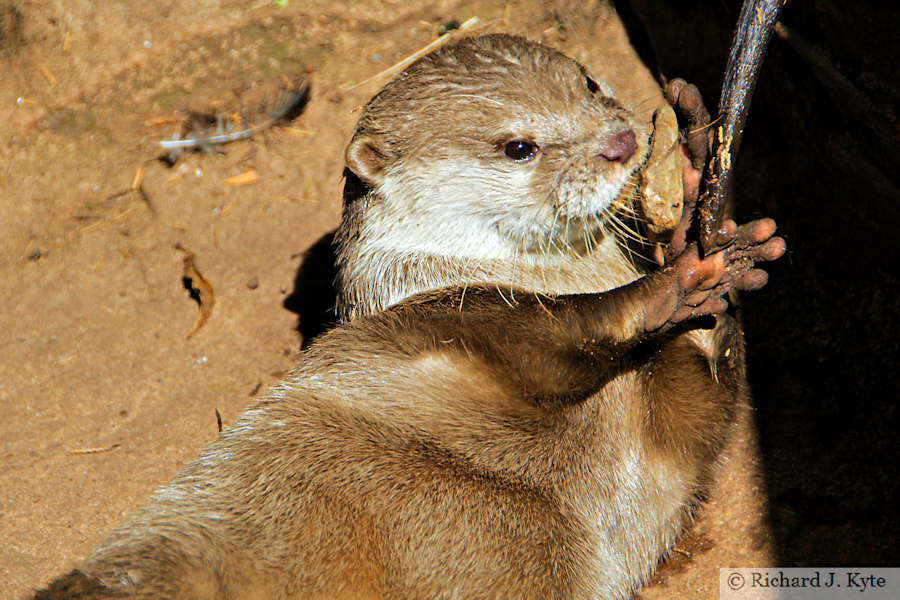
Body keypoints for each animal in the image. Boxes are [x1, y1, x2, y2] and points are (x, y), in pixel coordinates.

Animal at [31, 34, 784, 599]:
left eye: (591, 81)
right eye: (518, 146)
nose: (621, 144)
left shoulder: (657, 464)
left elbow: (697, 414)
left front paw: (698, 182)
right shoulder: (434, 321)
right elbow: (551, 332)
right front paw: (660, 289)